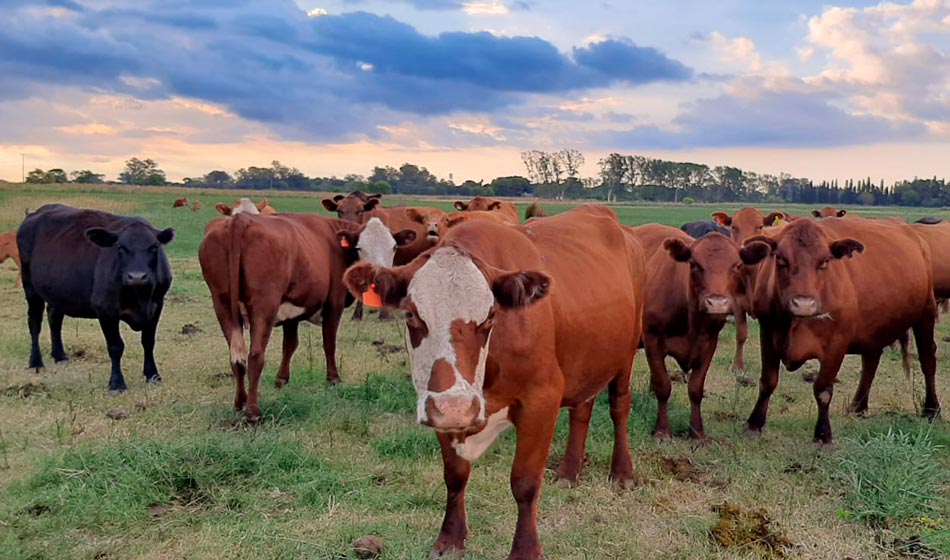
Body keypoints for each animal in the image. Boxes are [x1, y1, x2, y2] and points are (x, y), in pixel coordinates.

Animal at [16, 203, 177, 392]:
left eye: (154, 247)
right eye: (120, 247)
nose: (137, 277)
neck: (139, 297)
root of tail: (35, 213)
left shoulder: (157, 305)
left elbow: (148, 341)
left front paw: (152, 375)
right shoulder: (106, 309)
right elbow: (116, 346)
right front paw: (116, 383)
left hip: (57, 291)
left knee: (54, 318)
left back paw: (59, 355)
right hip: (30, 285)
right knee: (34, 322)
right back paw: (36, 362)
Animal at [200, 214, 416, 420]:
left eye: (393, 247)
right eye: (360, 247)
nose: (378, 279)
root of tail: (241, 219)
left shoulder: (291, 311)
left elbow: (289, 345)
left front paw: (282, 379)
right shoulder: (334, 303)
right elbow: (329, 342)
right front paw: (333, 378)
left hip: (222, 306)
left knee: (237, 359)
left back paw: (240, 402)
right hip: (264, 305)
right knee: (255, 356)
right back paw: (252, 411)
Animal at [344, 207, 648, 560]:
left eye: (490, 316)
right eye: (411, 315)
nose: (456, 406)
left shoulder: (541, 401)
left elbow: (524, 483)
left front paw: (525, 550)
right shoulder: (440, 406)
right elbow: (455, 476)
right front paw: (450, 539)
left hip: (626, 355)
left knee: (619, 407)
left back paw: (623, 472)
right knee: (582, 409)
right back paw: (568, 472)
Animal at [632, 224, 772, 442]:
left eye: (737, 265)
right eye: (694, 264)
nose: (717, 303)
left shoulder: (708, 344)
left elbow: (696, 389)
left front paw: (697, 433)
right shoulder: (652, 339)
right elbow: (663, 385)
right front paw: (662, 431)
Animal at [744, 218, 936, 442]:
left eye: (825, 261)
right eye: (781, 259)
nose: (804, 304)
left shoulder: (836, 344)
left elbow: (822, 389)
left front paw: (823, 434)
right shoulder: (767, 332)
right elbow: (768, 381)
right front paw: (754, 423)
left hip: (926, 313)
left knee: (927, 360)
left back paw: (932, 409)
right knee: (871, 362)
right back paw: (858, 406)